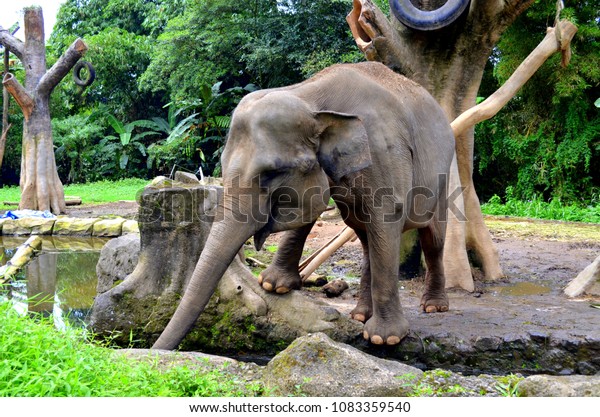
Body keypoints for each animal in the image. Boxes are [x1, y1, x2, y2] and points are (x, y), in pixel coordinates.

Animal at [151, 61, 454, 348]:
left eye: (271, 173)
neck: (309, 96)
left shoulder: (386, 153)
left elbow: (387, 214)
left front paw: (385, 339)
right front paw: (273, 285)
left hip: (444, 180)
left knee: (432, 240)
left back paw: (433, 307)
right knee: (368, 238)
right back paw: (359, 315)